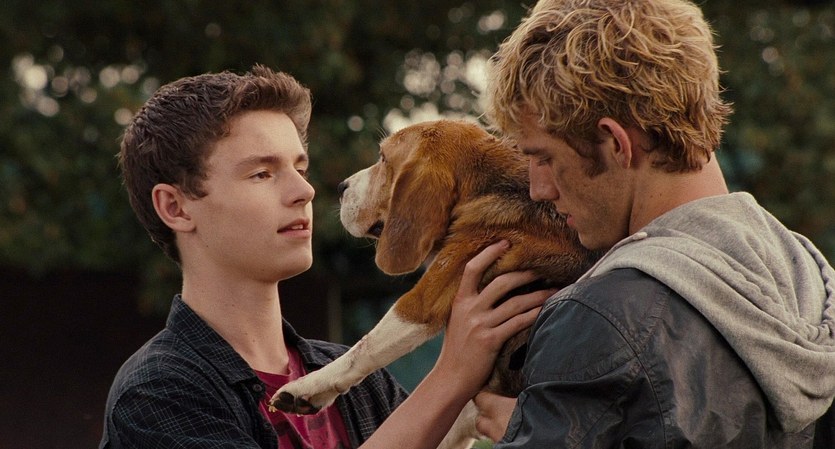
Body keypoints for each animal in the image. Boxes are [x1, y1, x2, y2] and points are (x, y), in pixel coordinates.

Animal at [270, 119, 599, 448]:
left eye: (384, 158)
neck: (489, 190)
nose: (341, 187)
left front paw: (306, 387)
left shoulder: (423, 301)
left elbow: (363, 349)